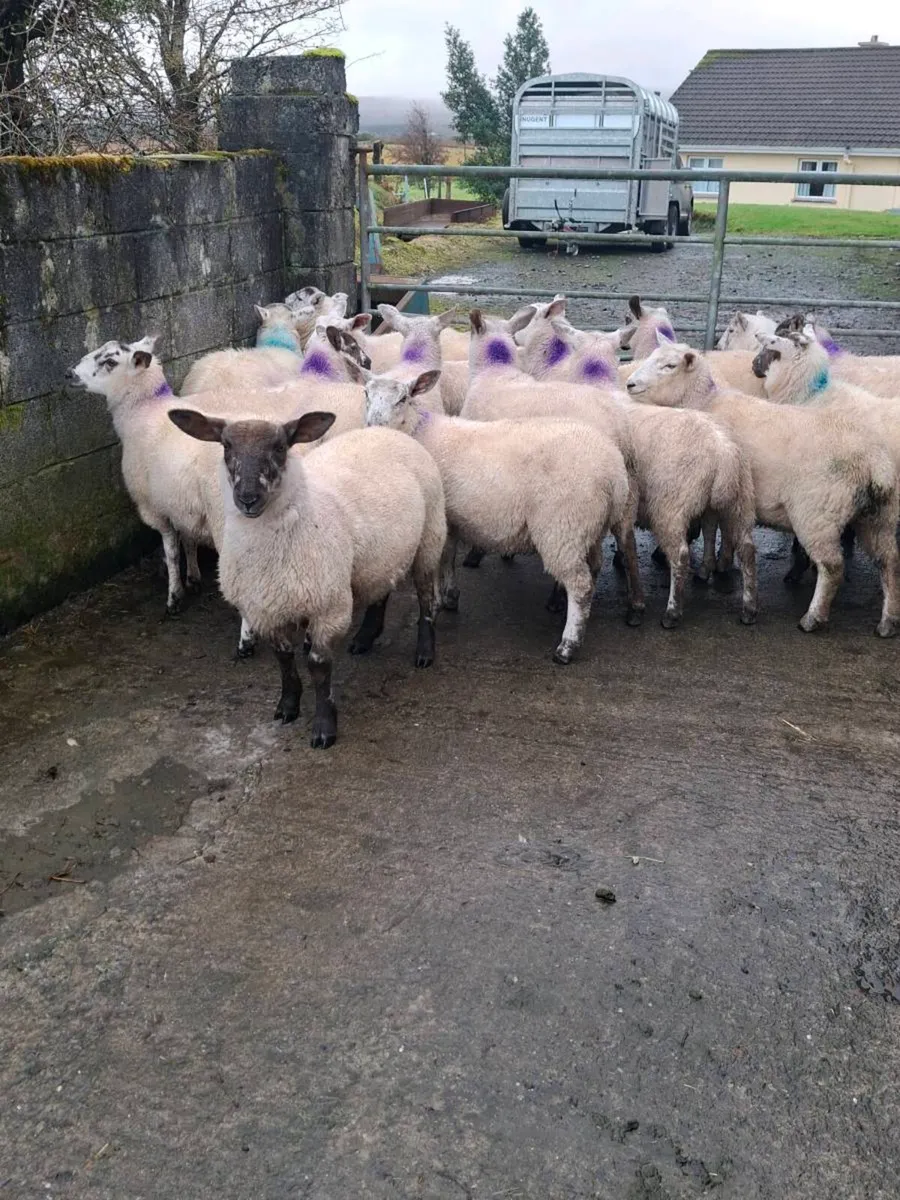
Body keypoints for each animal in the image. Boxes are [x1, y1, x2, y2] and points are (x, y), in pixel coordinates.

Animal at [167, 408, 447, 749]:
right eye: (226, 446)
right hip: (380, 554)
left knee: (426, 598)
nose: (248, 498)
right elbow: (284, 660)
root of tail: (389, 432)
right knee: (381, 589)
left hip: (430, 537)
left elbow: (318, 666)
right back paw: (365, 638)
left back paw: (424, 652)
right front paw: (287, 706)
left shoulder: (329, 608)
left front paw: (324, 727)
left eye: (279, 447)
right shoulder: (266, 610)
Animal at [358, 365, 631, 664]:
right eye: (366, 394)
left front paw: (439, 601)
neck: (418, 433)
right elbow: (447, 557)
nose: (374, 428)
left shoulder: (438, 517)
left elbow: (441, 559)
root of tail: (614, 471)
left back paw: (567, 646)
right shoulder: (451, 518)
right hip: (588, 527)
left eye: (403, 399)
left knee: (581, 585)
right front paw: (449, 597)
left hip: (562, 526)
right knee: (593, 568)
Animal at [520, 303, 758, 628]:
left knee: (681, 554)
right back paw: (748, 607)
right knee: (747, 548)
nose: (516, 338)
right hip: (741, 500)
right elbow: (626, 543)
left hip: (671, 505)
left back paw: (672, 612)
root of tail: (722, 452)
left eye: (532, 318)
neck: (596, 383)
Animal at [626, 338, 900, 637]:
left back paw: (812, 617)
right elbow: (711, 530)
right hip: (878, 517)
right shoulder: (718, 495)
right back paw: (888, 621)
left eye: (670, 365)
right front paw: (710, 566)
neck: (705, 402)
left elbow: (717, 531)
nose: (630, 384)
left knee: (832, 567)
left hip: (818, 515)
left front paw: (717, 564)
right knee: (889, 560)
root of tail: (875, 462)